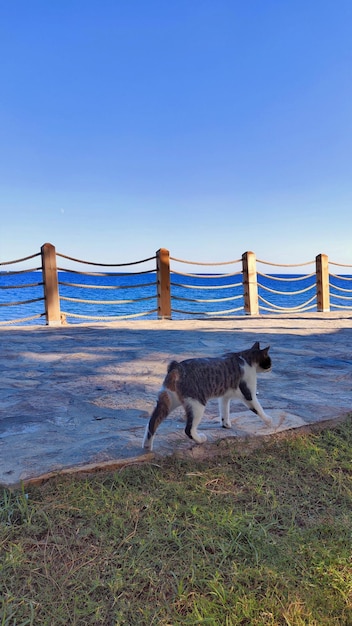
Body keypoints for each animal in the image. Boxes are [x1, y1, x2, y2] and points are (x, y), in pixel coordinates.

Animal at [143, 342, 272, 448]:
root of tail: (177, 366)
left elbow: (224, 411)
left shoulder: (224, 397)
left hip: (168, 401)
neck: (245, 358)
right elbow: (258, 409)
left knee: (152, 423)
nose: (271, 367)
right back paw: (200, 439)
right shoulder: (249, 395)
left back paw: (147, 446)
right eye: (269, 361)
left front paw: (225, 424)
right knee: (188, 429)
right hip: (197, 404)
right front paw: (268, 420)